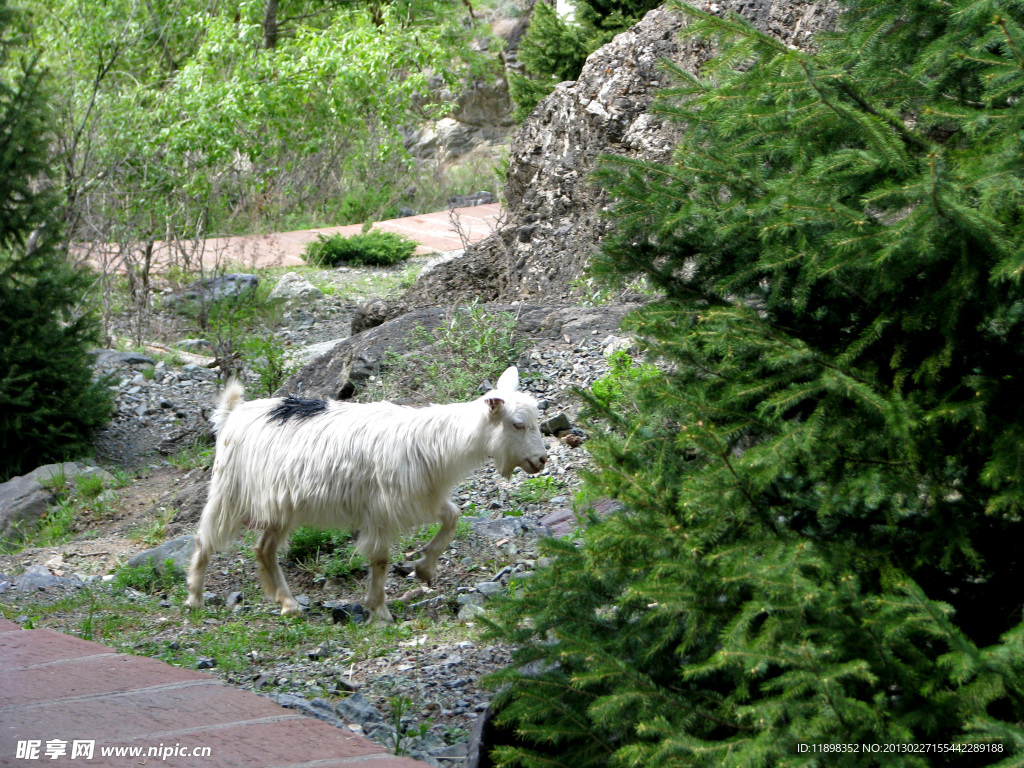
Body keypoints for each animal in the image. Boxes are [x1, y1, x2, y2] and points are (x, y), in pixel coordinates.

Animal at [187, 366, 548, 626]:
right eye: (517, 424)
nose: (542, 460)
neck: (435, 442)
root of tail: (233, 413)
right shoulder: (380, 508)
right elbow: (380, 559)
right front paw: (380, 610)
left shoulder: (423, 497)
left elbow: (453, 518)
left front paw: (425, 567)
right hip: (230, 491)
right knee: (206, 539)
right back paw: (195, 598)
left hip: (281, 503)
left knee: (264, 549)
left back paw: (288, 604)